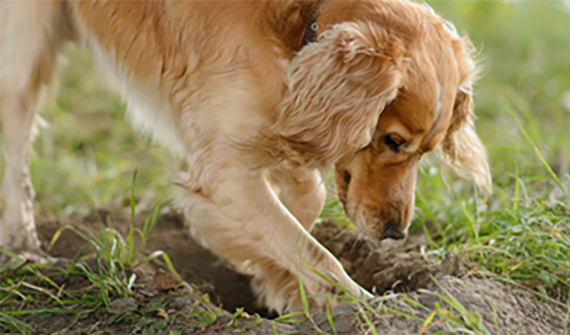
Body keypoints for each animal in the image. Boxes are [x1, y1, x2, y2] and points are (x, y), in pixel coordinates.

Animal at [0, 0, 488, 316]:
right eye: (392, 141)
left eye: (426, 151)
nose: (395, 233)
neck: (299, 24)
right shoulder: (223, 167)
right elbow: (313, 251)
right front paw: (360, 305)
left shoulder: (276, 123)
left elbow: (302, 208)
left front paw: (273, 280)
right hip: (24, 50)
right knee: (17, 150)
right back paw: (24, 246)